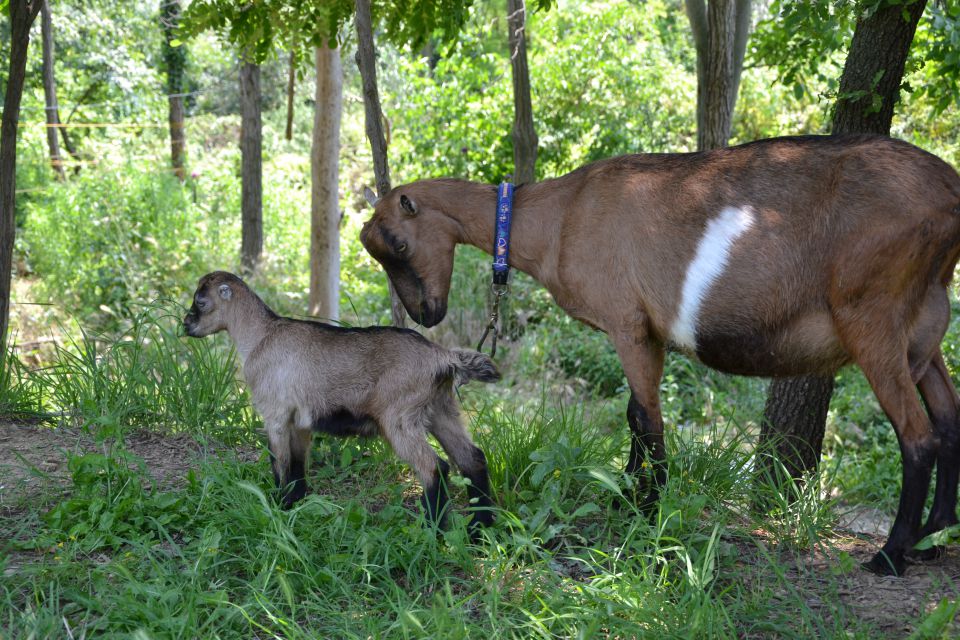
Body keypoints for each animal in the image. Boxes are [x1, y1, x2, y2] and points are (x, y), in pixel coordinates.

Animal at [182, 272, 502, 528]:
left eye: (200, 301)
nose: (186, 324)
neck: (261, 336)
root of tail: (443, 356)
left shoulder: (275, 414)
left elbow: (280, 463)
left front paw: (278, 506)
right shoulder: (300, 421)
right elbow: (297, 463)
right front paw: (297, 503)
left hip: (399, 419)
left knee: (435, 467)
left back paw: (432, 530)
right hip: (441, 410)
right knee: (472, 459)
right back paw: (479, 528)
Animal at [360, 135, 960, 576]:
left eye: (400, 245)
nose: (426, 313)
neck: (559, 216)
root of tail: (950, 194)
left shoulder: (627, 324)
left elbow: (649, 420)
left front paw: (649, 515)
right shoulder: (645, 333)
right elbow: (634, 415)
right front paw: (628, 494)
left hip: (873, 322)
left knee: (917, 437)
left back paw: (890, 556)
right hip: (925, 332)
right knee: (948, 421)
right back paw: (934, 534)